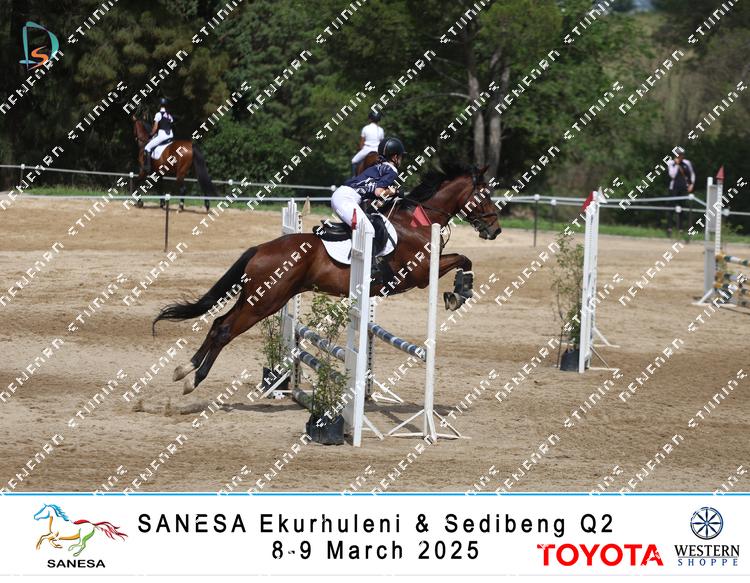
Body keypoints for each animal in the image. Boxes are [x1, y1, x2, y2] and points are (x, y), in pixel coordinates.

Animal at [154, 164, 501, 394]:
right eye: (485, 195)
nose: (495, 229)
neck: (420, 219)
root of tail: (260, 249)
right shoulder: (419, 273)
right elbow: (462, 259)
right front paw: (459, 292)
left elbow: (463, 258)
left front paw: (459, 291)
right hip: (266, 301)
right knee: (225, 329)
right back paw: (194, 379)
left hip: (258, 297)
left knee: (217, 324)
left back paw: (184, 369)